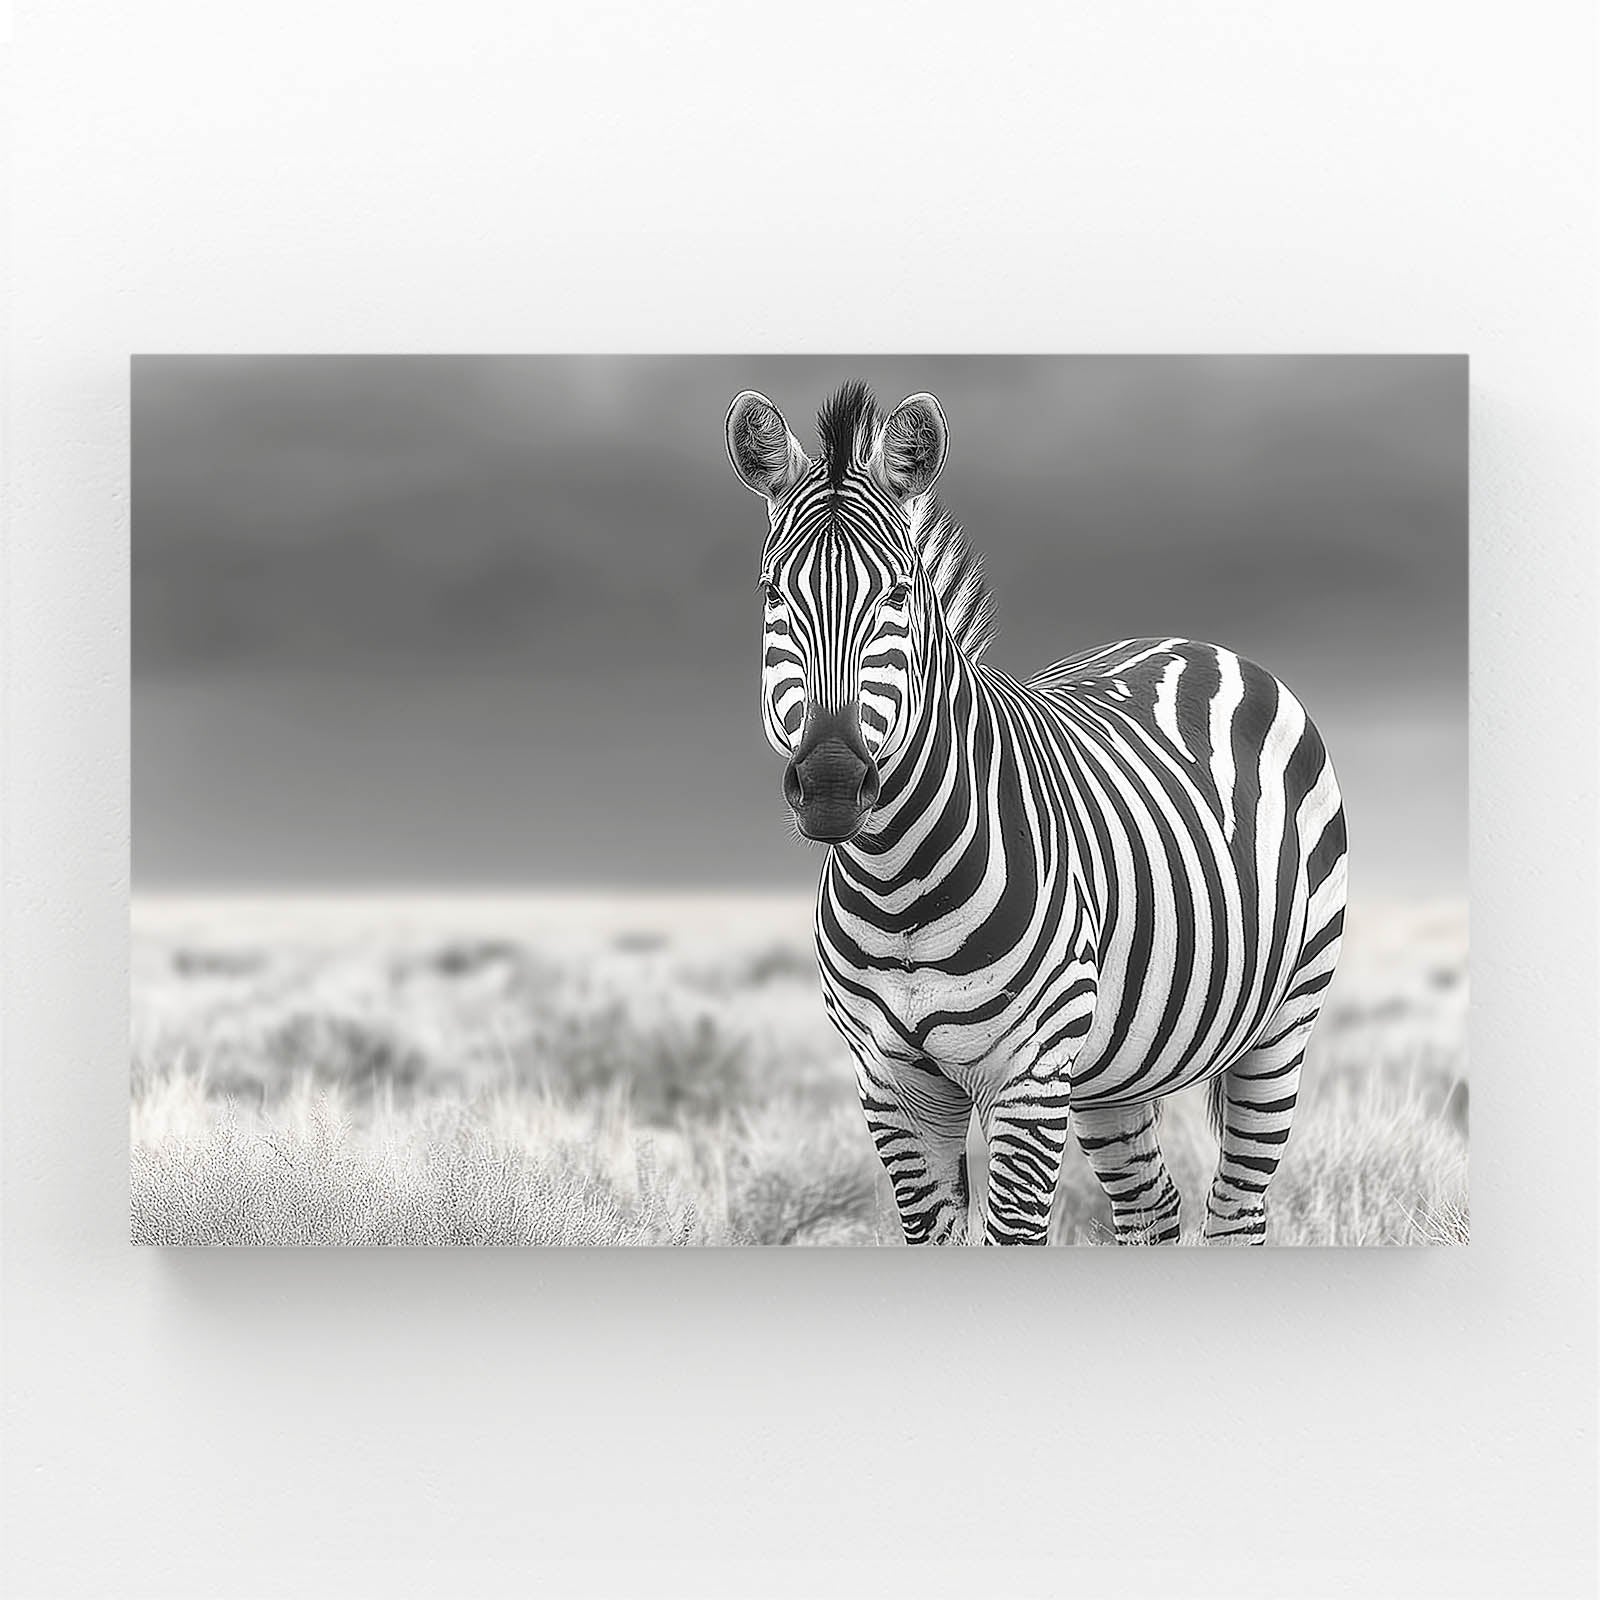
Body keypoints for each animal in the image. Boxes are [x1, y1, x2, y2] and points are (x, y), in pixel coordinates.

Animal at [725, 381, 1348, 1246]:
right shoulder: (889, 1082)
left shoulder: (1030, 1074)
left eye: (898, 593)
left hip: (1283, 1025)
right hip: (1118, 1066)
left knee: (1237, 1210)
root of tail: (1193, 643)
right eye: (772, 594)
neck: (897, 883)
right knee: (1151, 1209)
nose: (830, 784)